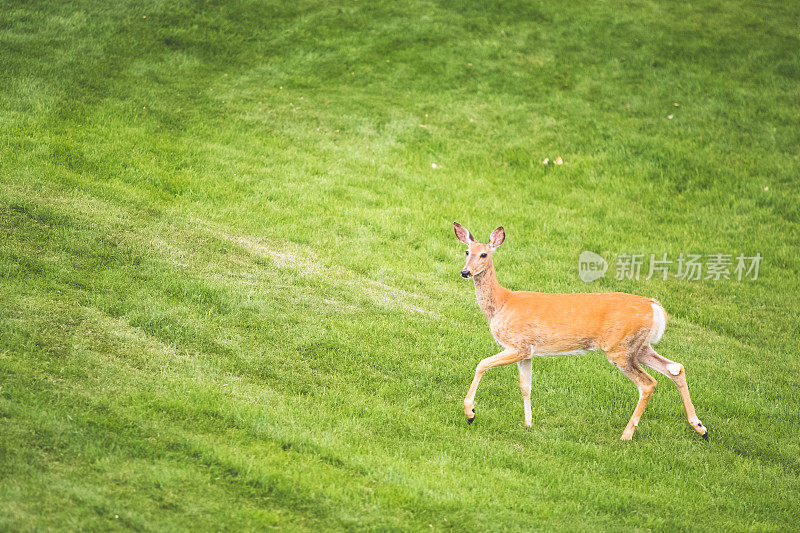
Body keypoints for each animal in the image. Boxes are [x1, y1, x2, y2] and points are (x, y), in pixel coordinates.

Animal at [454, 221, 708, 440]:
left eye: (484, 254)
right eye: (467, 252)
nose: (465, 272)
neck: (502, 303)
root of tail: (656, 308)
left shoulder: (518, 345)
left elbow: (482, 364)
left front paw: (470, 413)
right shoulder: (527, 352)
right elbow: (525, 386)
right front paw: (528, 424)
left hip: (619, 348)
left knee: (648, 383)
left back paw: (626, 435)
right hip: (638, 346)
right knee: (676, 368)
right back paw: (700, 427)